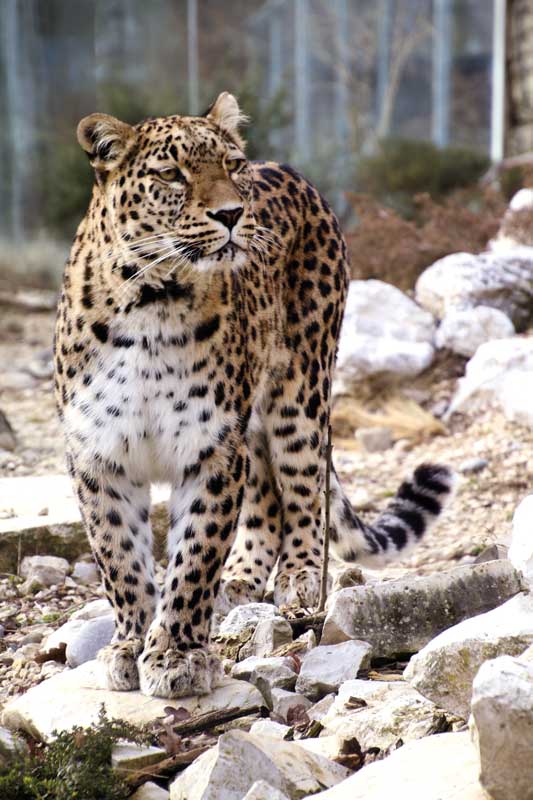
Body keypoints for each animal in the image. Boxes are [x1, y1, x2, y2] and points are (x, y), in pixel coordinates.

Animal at [55, 90, 454, 696]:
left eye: (231, 166)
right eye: (171, 174)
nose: (231, 214)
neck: (150, 301)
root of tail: (290, 170)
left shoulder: (211, 447)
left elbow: (194, 557)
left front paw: (176, 656)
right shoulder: (98, 454)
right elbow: (120, 560)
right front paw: (128, 645)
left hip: (301, 394)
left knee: (303, 488)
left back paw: (299, 579)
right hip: (257, 417)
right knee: (265, 492)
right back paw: (241, 581)